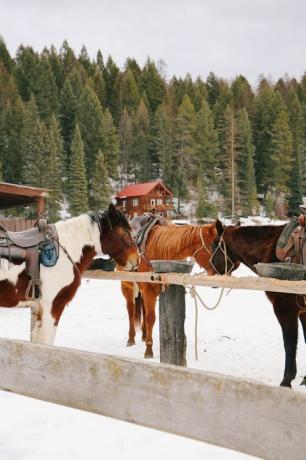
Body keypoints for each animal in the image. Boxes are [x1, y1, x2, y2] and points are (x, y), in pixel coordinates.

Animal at [119, 222, 218, 360]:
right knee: (131, 311)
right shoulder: (148, 289)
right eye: (213, 246)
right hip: (126, 286)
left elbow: (149, 316)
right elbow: (150, 318)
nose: (219, 271)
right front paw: (149, 350)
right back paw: (131, 338)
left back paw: (144, 335)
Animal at [209, 220, 306, 388]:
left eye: (214, 245)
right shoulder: (303, 312)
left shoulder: (285, 309)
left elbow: (289, 343)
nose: (211, 272)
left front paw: (286, 380)